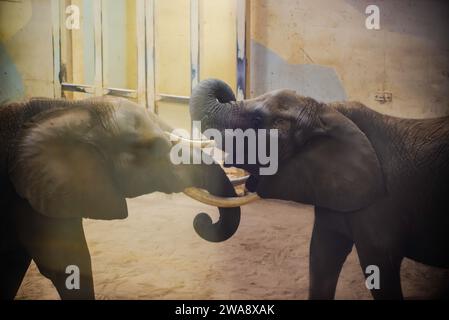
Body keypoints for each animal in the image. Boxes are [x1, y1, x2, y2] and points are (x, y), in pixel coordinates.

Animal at [188, 78, 448, 300]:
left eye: (257, 121)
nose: (201, 220)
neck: (329, 113)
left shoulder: (382, 207)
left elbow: (379, 267)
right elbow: (322, 257)